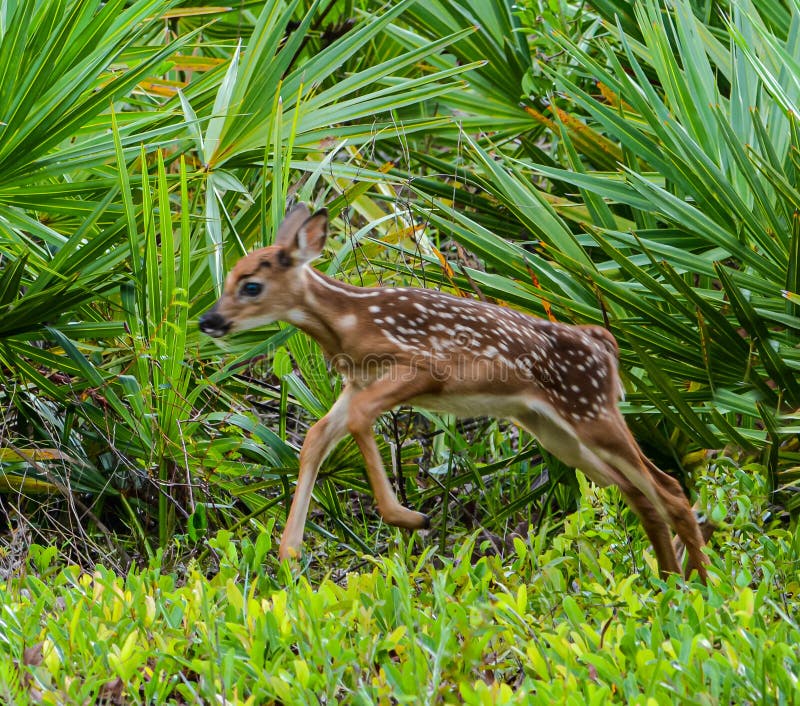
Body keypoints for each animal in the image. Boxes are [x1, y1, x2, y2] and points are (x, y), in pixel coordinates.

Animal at [198, 202, 708, 576]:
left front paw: (408, 517)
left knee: (668, 489)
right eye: (228, 277)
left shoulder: (425, 367)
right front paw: (289, 553)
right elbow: (316, 437)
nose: (208, 320)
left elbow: (360, 419)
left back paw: (697, 583)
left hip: (591, 411)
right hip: (552, 429)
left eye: (251, 285)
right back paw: (670, 580)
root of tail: (605, 343)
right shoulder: (356, 381)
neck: (348, 322)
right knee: (639, 494)